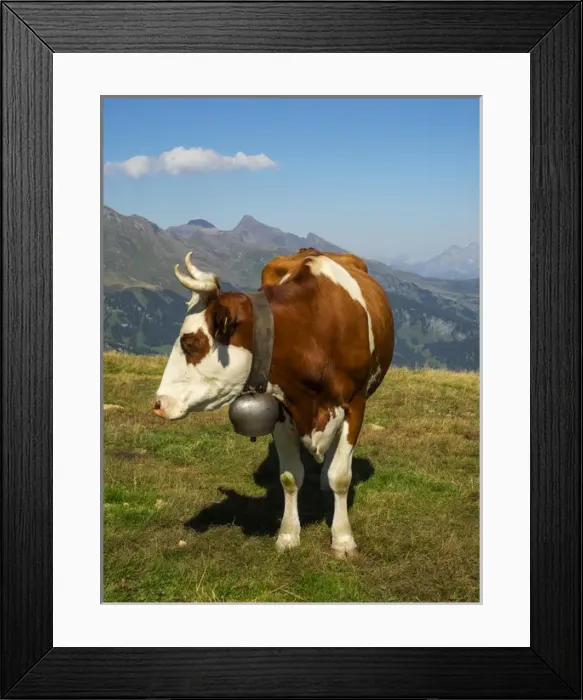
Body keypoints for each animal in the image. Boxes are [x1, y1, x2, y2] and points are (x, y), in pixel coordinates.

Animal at [153, 247, 394, 557]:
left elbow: (341, 476)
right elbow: (290, 477)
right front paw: (288, 535)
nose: (159, 403)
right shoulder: (282, 408)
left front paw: (343, 540)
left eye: (190, 342)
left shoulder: (356, 403)